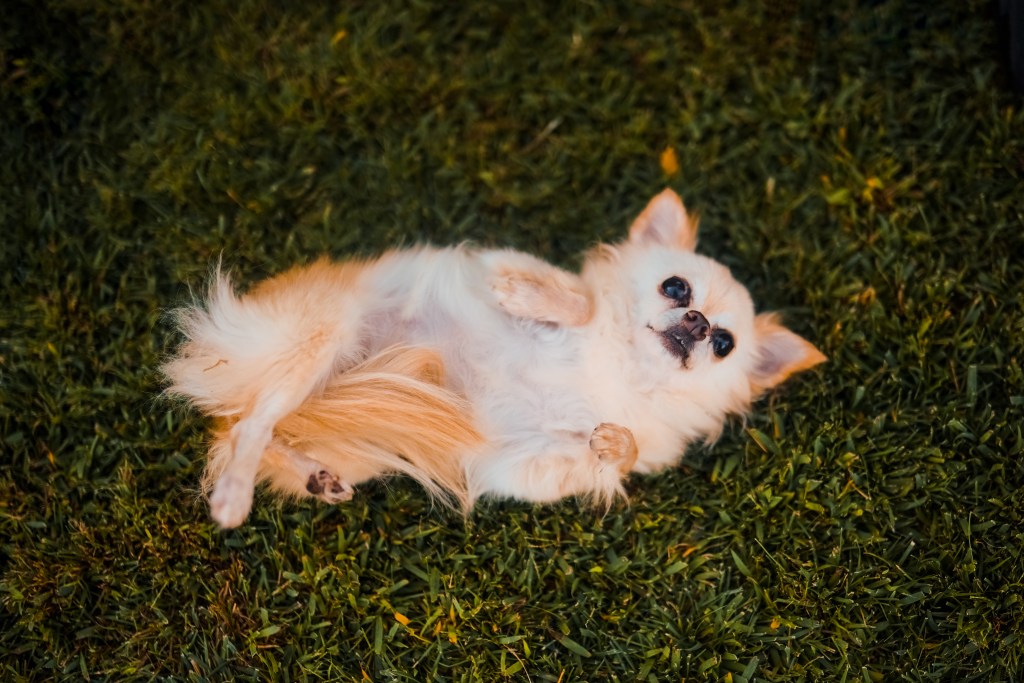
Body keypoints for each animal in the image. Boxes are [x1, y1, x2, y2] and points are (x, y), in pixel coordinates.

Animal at [162, 189, 826, 528]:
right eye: (676, 288)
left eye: (725, 345)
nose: (699, 324)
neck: (619, 367)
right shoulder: (498, 265)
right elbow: (580, 300)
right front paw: (543, 300)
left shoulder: (526, 464)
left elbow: (614, 452)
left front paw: (615, 442)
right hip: (321, 339)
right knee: (250, 424)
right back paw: (233, 497)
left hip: (350, 437)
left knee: (249, 429)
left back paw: (311, 476)